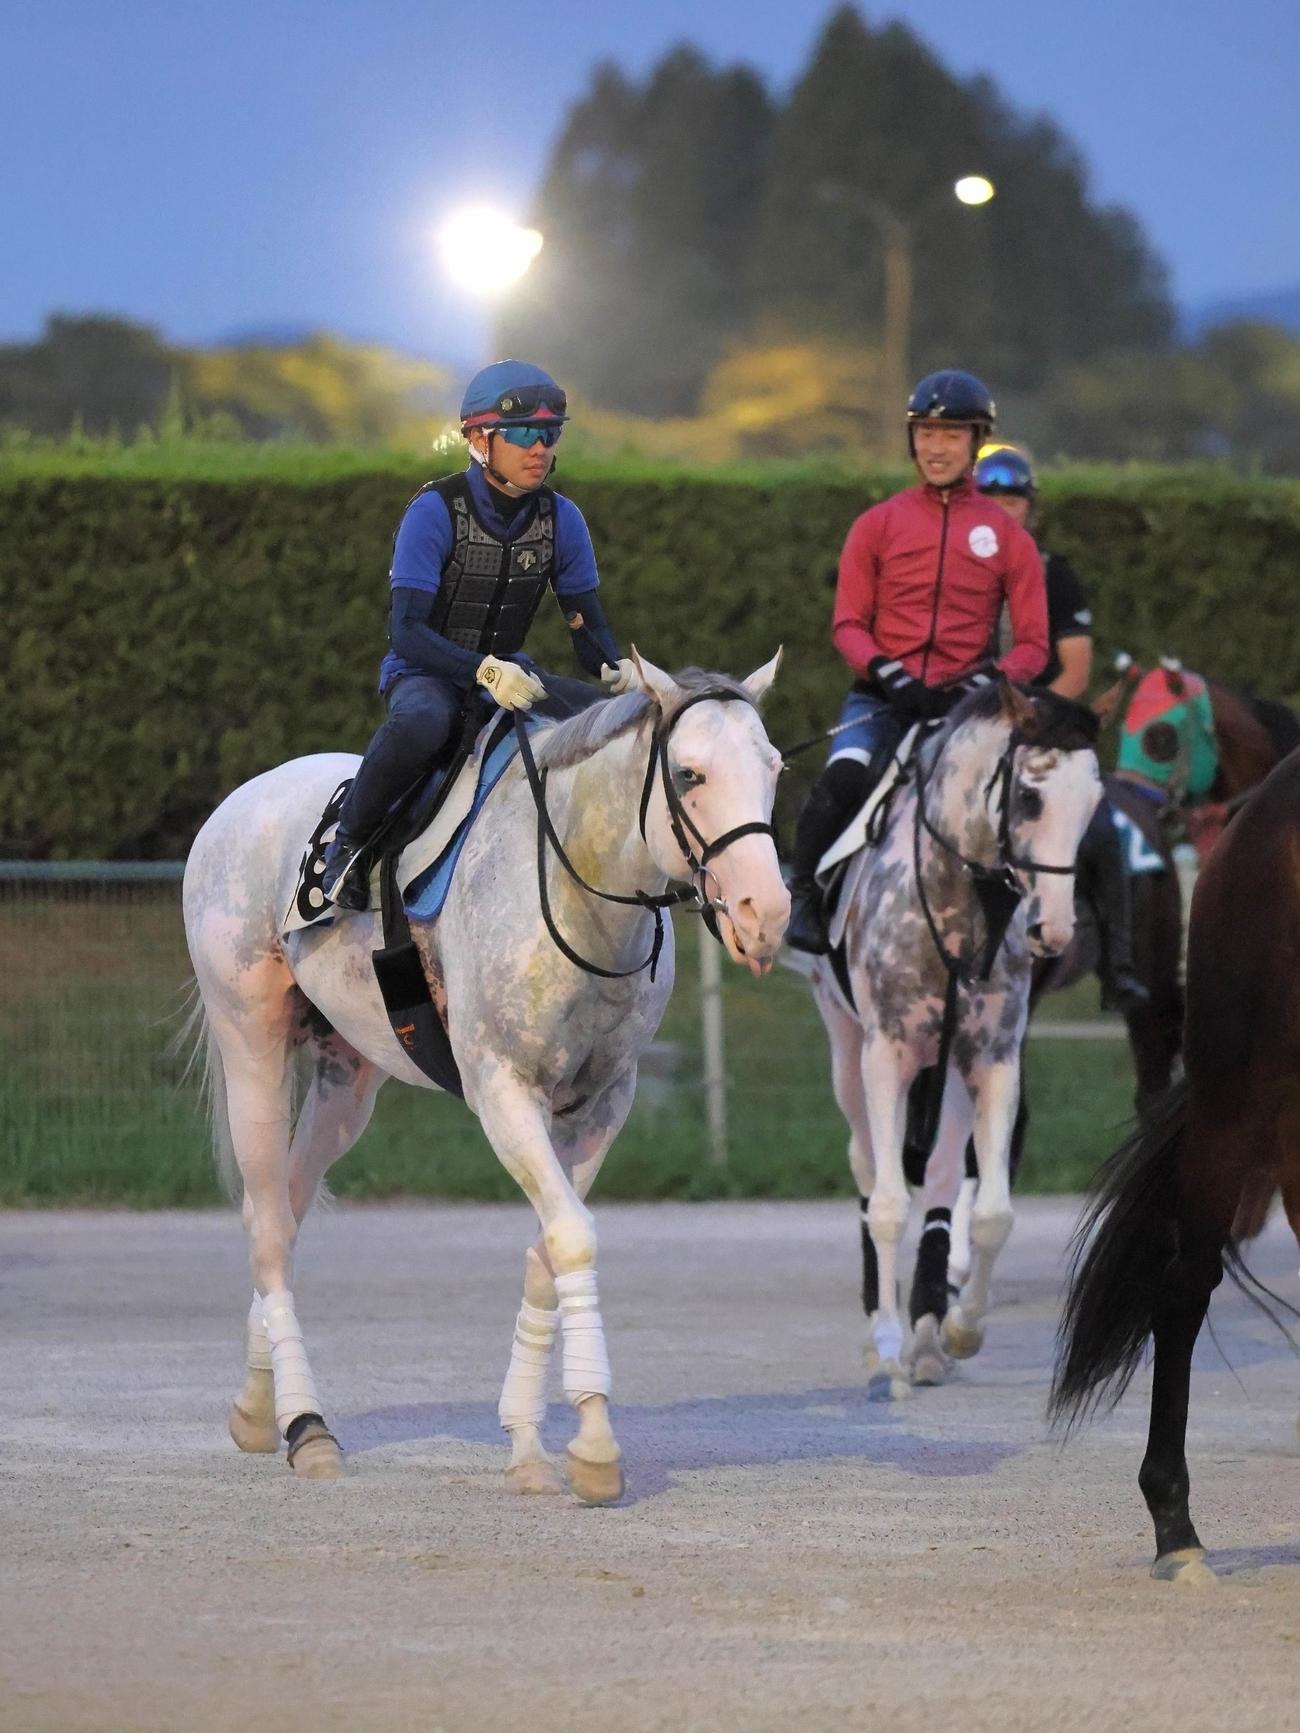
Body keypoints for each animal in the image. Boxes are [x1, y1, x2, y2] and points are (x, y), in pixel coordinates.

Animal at [183, 652, 789, 1501]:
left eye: (773, 768)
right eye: (690, 772)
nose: (766, 914)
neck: (577, 892)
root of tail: (239, 802)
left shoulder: (602, 1106)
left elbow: (547, 1252)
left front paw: (531, 1442)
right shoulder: (505, 1093)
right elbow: (572, 1237)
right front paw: (593, 1444)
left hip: (347, 1081)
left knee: (285, 1209)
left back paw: (256, 1402)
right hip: (252, 1044)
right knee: (267, 1223)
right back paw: (306, 1425)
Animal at [808, 681, 1102, 1393]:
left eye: (1093, 801)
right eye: (1029, 796)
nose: (1053, 929)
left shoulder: (990, 1060)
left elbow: (992, 1211)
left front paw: (960, 1327)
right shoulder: (885, 1054)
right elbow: (887, 1202)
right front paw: (886, 1346)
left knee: (942, 1180)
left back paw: (927, 1334)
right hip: (847, 1052)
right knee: (869, 1167)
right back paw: (886, 1331)